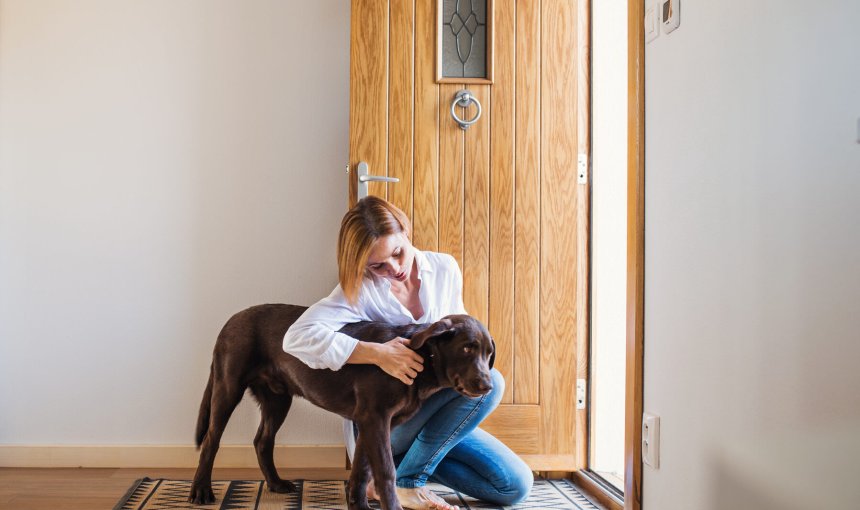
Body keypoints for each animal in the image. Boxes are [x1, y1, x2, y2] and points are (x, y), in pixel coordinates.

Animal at [188, 304, 498, 508]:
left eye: (488, 353)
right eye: (467, 348)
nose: (487, 386)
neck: (420, 356)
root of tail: (232, 319)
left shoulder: (372, 423)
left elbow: (362, 469)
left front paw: (358, 505)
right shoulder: (375, 418)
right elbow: (386, 471)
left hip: (278, 398)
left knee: (262, 440)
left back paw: (275, 483)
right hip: (228, 387)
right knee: (212, 439)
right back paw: (201, 491)